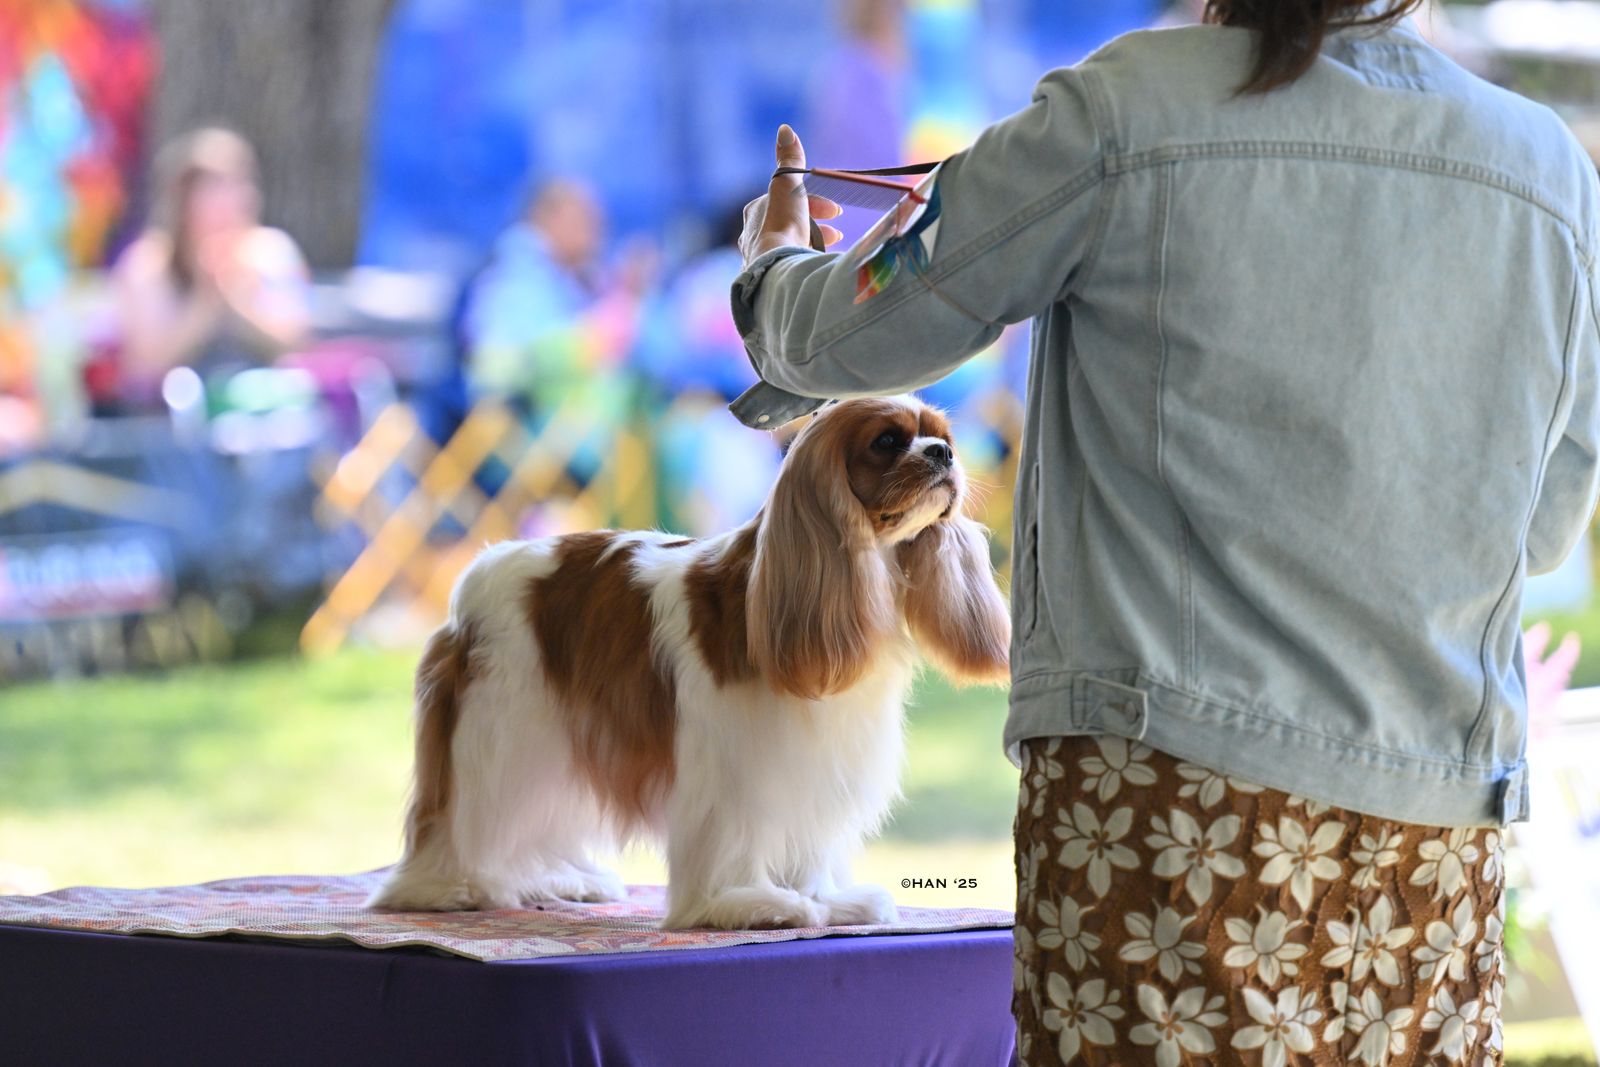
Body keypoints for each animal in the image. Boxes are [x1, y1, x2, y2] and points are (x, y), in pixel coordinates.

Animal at [366, 396, 1010, 929]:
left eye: (942, 437)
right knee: (465, 816)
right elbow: (731, 838)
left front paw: (826, 899)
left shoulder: (814, 760)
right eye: (887, 441)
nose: (943, 453)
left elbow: (807, 839)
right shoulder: (734, 765)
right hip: (500, 729)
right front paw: (745, 903)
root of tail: (476, 573)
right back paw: (445, 887)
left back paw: (559, 878)